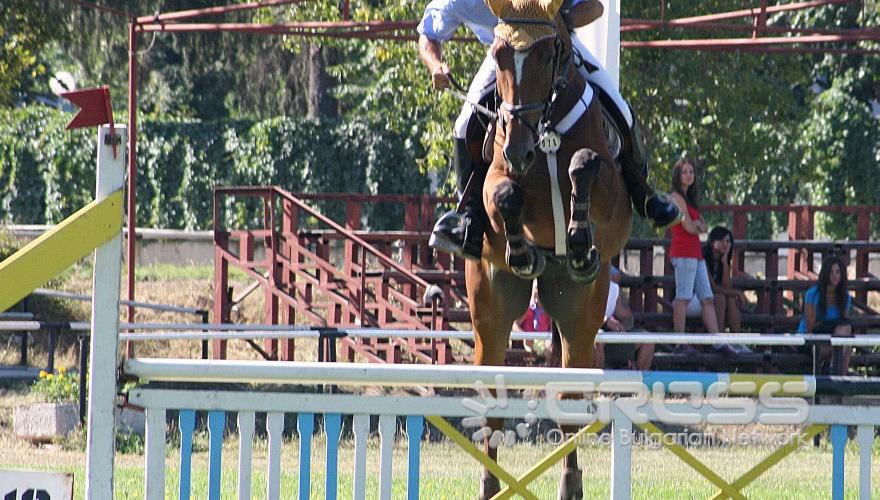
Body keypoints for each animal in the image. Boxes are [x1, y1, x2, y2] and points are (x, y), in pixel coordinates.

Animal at [468, 0, 632, 500]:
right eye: (499, 55)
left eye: (546, 55)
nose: (519, 150)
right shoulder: (495, 179)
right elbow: (503, 194)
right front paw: (523, 251)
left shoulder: (613, 202)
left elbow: (585, 163)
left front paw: (577, 236)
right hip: (491, 305)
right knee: (493, 398)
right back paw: (489, 484)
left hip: (580, 309)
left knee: (569, 399)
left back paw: (570, 483)